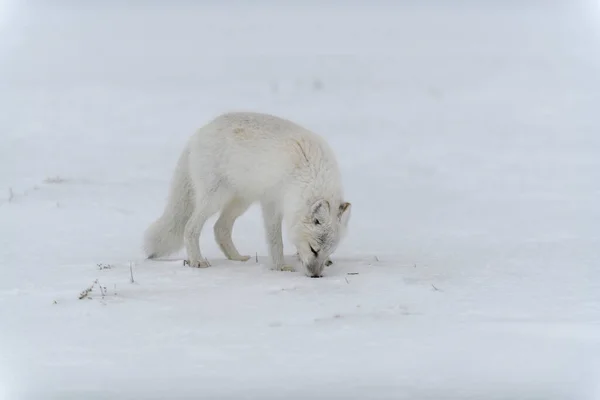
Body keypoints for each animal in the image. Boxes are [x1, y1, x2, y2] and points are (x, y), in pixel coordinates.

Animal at [143, 111, 352, 276]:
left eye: (328, 253)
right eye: (314, 249)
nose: (316, 276)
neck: (310, 174)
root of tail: (198, 133)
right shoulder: (271, 203)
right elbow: (275, 241)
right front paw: (280, 267)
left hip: (241, 202)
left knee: (220, 228)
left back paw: (236, 258)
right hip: (214, 199)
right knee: (190, 228)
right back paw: (197, 261)